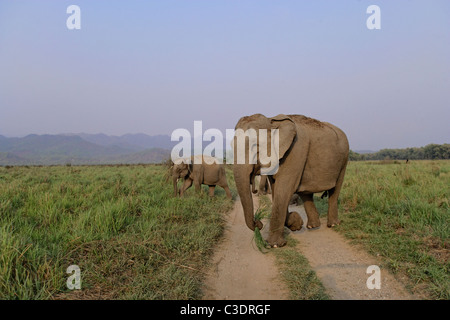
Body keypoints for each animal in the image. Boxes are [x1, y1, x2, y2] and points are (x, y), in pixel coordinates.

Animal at [234, 113, 350, 248]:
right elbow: (277, 191)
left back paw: (333, 224)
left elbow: (283, 191)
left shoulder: (294, 152)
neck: (271, 121)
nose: (259, 223)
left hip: (344, 160)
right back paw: (313, 226)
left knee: (335, 190)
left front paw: (274, 245)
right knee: (306, 194)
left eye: (255, 145)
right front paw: (296, 223)